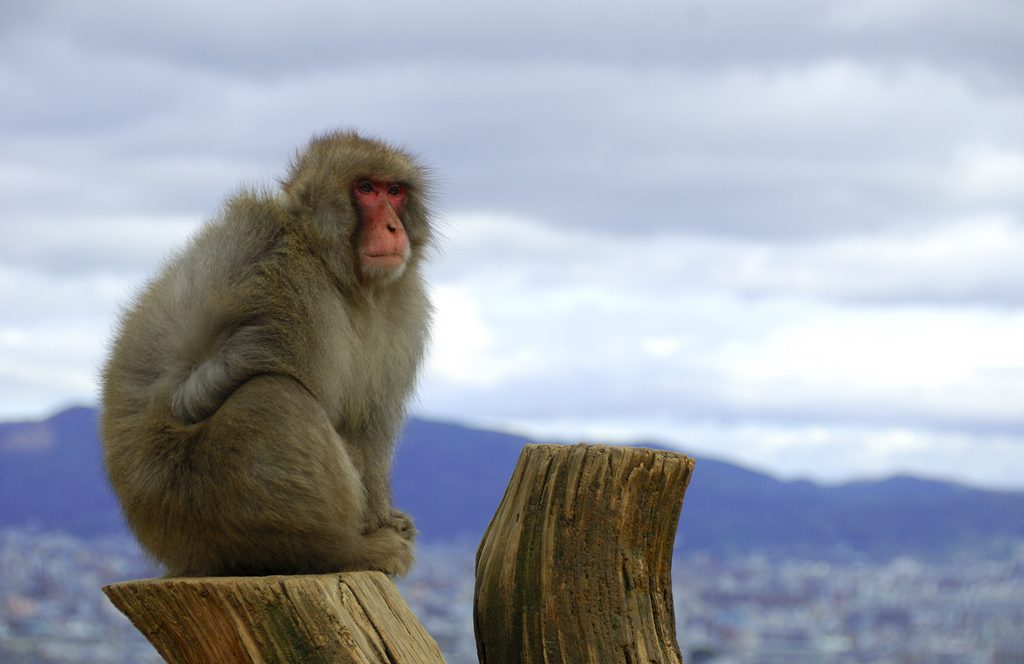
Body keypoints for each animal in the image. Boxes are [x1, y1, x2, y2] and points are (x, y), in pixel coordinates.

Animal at [103, 129, 436, 573]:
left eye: (394, 191)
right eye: (366, 188)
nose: (392, 226)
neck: (338, 272)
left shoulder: (403, 309)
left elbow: (368, 428)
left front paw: (387, 517)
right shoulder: (296, 292)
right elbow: (210, 387)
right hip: (197, 509)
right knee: (275, 396)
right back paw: (343, 549)